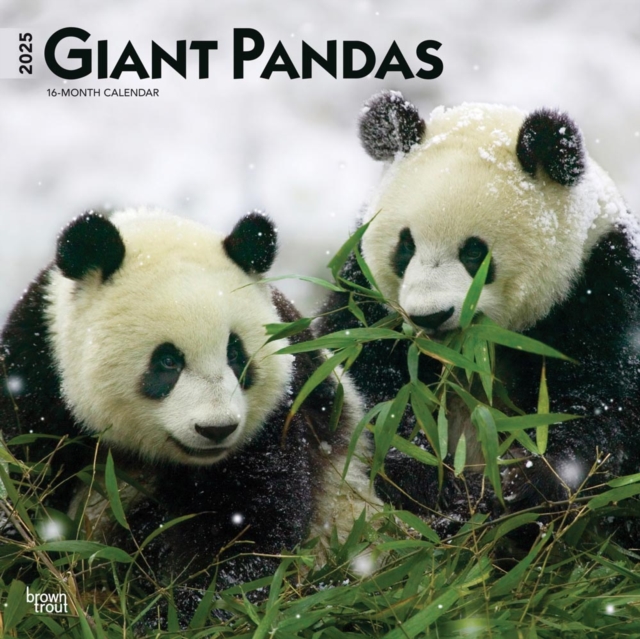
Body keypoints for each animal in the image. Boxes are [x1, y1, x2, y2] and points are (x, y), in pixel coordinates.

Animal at [0, 208, 378, 624]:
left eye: (236, 353)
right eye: (168, 361)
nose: (216, 429)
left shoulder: (279, 413)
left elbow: (243, 526)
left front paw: (180, 609)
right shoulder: (36, 372)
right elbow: (24, 479)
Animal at [318, 90, 640, 527]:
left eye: (474, 252)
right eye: (405, 246)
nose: (429, 316)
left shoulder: (601, 284)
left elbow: (598, 403)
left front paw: (522, 483)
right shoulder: (366, 296)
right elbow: (365, 388)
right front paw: (434, 485)